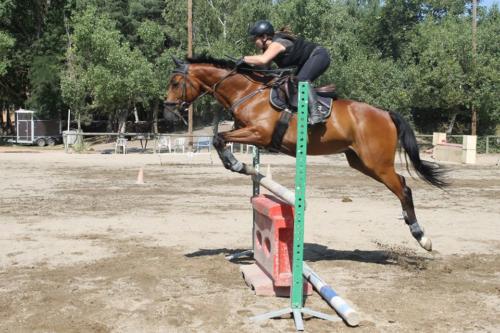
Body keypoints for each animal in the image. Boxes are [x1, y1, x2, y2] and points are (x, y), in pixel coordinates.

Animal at [163, 55, 446, 252]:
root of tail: (385, 113)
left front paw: (234, 163)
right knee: (402, 184)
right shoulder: (247, 132)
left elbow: (219, 138)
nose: (168, 110)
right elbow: (219, 138)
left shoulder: (259, 134)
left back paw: (422, 236)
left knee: (404, 188)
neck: (247, 93)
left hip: (377, 163)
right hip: (360, 162)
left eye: (176, 82)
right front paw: (240, 165)